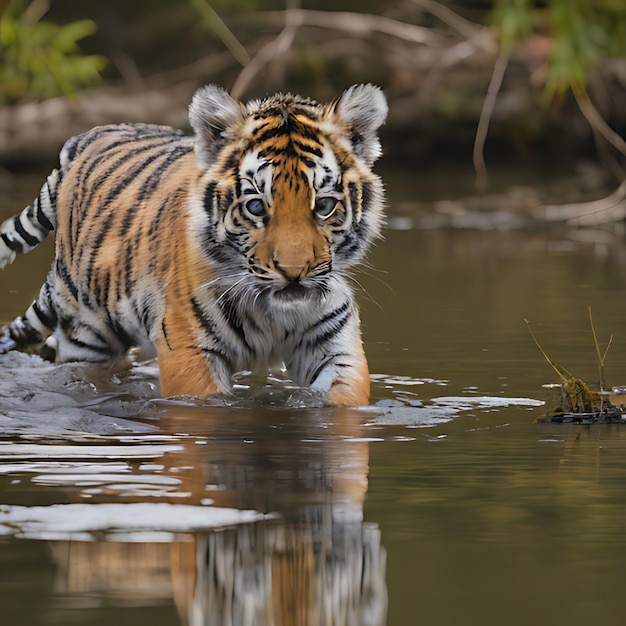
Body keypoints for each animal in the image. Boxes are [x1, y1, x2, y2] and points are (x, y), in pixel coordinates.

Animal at [0, 83, 386, 404]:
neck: (274, 314)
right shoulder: (190, 353)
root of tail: (81, 140)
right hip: (88, 336)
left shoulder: (334, 349)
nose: (294, 273)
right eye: (256, 207)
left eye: (323, 205)